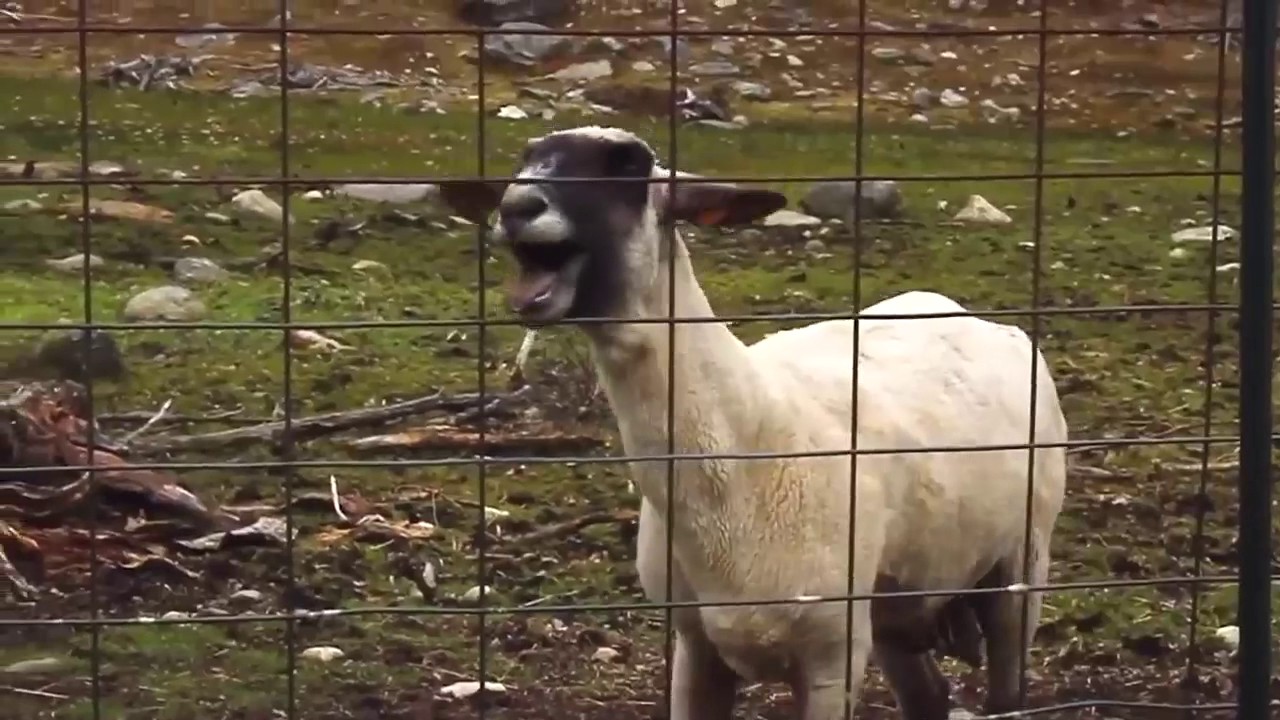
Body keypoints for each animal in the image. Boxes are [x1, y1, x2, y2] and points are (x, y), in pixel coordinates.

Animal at [437, 125, 1069, 720]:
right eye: (525, 159)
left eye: (628, 165)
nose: (517, 206)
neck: (743, 453)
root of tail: (973, 316)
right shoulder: (697, 647)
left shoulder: (832, 656)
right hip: (897, 598)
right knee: (928, 697)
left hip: (1022, 559)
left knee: (1008, 684)